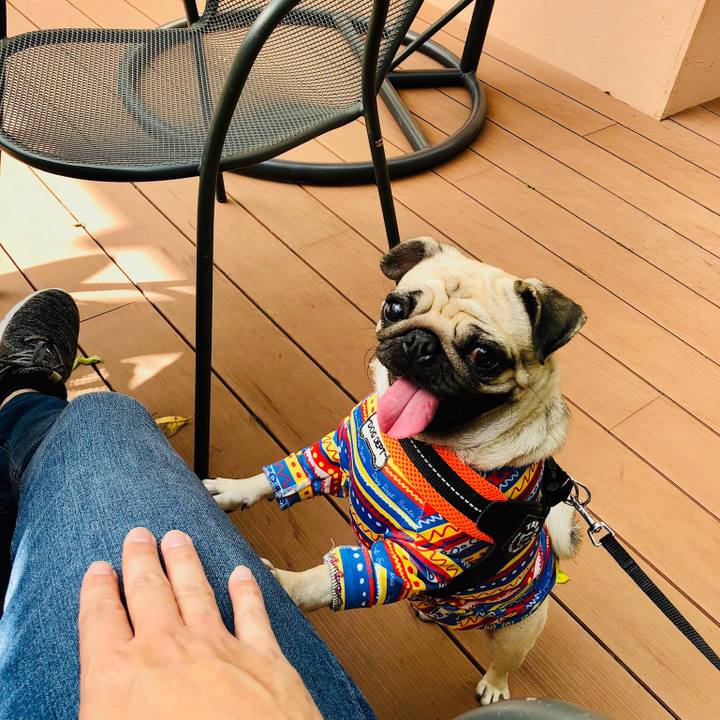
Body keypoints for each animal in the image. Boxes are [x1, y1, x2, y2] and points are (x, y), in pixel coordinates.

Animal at [204, 237, 585, 704]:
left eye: (483, 356)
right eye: (396, 308)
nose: (421, 343)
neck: (417, 445)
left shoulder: (420, 557)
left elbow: (331, 577)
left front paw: (281, 586)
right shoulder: (335, 454)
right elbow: (289, 471)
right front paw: (234, 490)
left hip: (517, 629)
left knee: (505, 661)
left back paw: (494, 686)